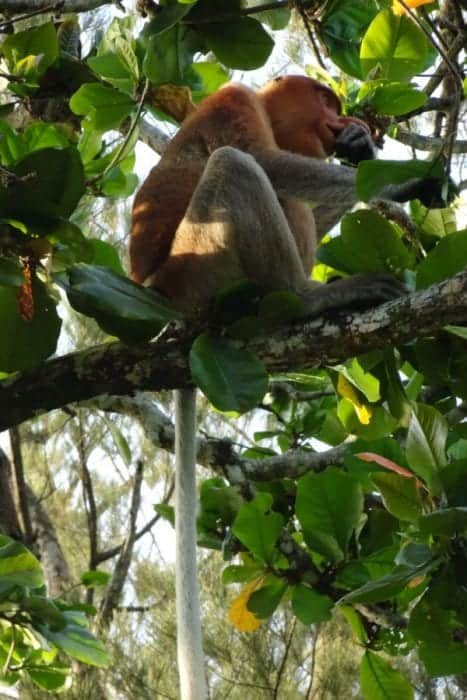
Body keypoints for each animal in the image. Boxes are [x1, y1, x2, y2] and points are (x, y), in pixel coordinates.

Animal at [130, 75, 423, 699]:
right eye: (326, 101)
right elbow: (263, 160)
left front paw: (363, 148)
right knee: (236, 165)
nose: (341, 124)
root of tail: (170, 311)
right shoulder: (234, 102)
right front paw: (416, 177)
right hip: (202, 266)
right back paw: (310, 299)